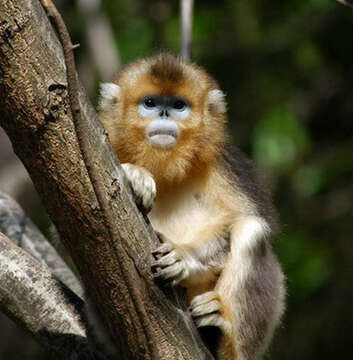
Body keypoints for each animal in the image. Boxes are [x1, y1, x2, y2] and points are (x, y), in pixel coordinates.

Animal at [97, 53, 284, 360]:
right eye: (150, 103)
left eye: (178, 106)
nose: (164, 115)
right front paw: (135, 176)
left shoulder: (225, 163)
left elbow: (246, 217)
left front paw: (185, 258)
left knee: (250, 230)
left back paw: (223, 336)